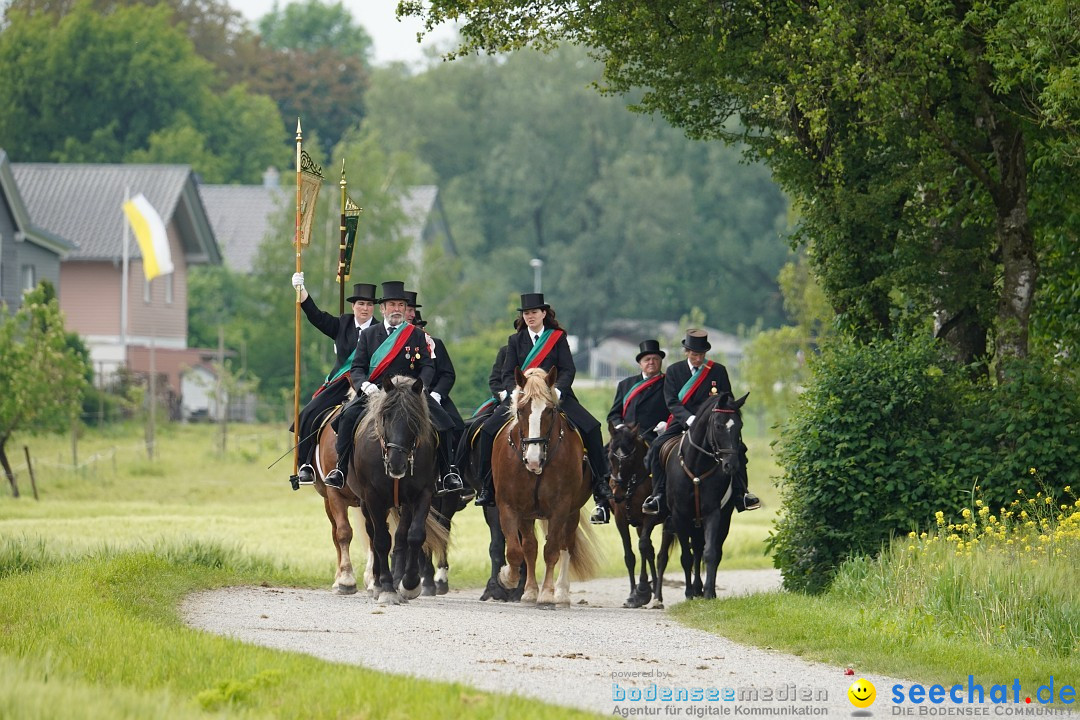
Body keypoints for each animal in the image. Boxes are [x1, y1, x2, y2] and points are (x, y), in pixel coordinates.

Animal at [490, 367, 600, 608]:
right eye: (521, 410)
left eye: (549, 410)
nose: (533, 460)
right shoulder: (511, 507)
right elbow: (517, 551)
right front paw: (509, 578)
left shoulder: (560, 508)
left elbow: (551, 551)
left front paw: (547, 593)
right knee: (531, 547)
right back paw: (531, 590)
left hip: (572, 513)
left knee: (565, 545)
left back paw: (561, 592)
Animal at [609, 423, 665, 608]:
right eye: (610, 457)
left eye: (631, 459)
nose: (618, 495)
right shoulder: (621, 520)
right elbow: (630, 555)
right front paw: (634, 594)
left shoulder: (649, 517)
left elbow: (642, 547)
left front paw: (641, 590)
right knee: (651, 551)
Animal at [652, 390, 747, 600]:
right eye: (718, 426)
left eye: (740, 426)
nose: (731, 466)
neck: (697, 466)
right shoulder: (679, 516)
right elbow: (686, 556)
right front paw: (688, 592)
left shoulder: (713, 513)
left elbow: (710, 552)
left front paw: (709, 592)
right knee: (670, 554)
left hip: (717, 520)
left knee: (704, 550)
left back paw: (699, 588)